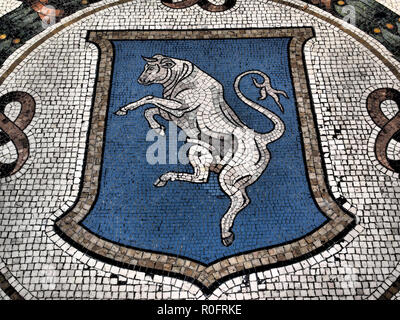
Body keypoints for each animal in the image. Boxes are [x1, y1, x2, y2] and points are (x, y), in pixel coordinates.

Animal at [115, 53, 288, 246]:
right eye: (145, 67)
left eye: (151, 68)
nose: (140, 80)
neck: (182, 78)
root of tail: (261, 139)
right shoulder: (173, 113)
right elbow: (150, 110)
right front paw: (157, 128)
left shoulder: (179, 106)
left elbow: (149, 98)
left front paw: (125, 109)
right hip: (214, 160)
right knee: (212, 183)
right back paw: (166, 177)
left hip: (229, 172)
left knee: (236, 197)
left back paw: (225, 233)